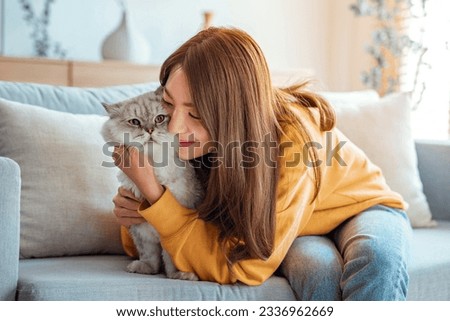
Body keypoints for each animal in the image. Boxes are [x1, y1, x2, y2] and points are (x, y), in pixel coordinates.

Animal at [102, 87, 202, 280]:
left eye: (160, 119)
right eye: (135, 122)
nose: (149, 130)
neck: (153, 164)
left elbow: (171, 258)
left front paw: (179, 274)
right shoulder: (141, 230)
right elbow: (149, 256)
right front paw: (145, 268)